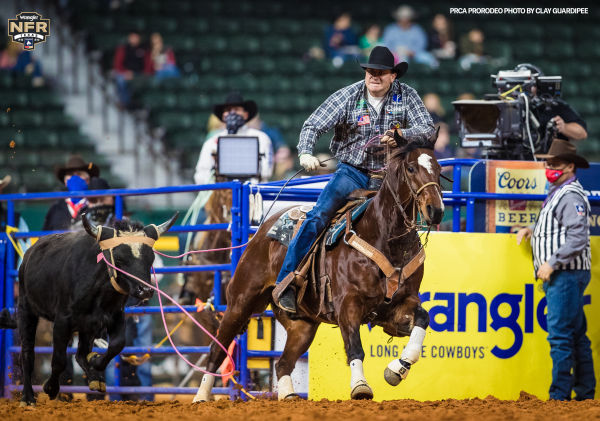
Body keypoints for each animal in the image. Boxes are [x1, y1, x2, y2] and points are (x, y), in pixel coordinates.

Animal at [195, 134, 442, 400]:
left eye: (439, 169)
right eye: (411, 168)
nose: (436, 211)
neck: (384, 237)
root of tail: (261, 231)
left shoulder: (397, 307)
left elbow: (423, 318)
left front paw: (398, 368)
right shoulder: (347, 304)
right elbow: (355, 348)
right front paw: (360, 386)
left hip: (302, 325)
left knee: (283, 363)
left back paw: (288, 396)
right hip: (240, 302)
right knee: (216, 349)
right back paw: (201, 397)